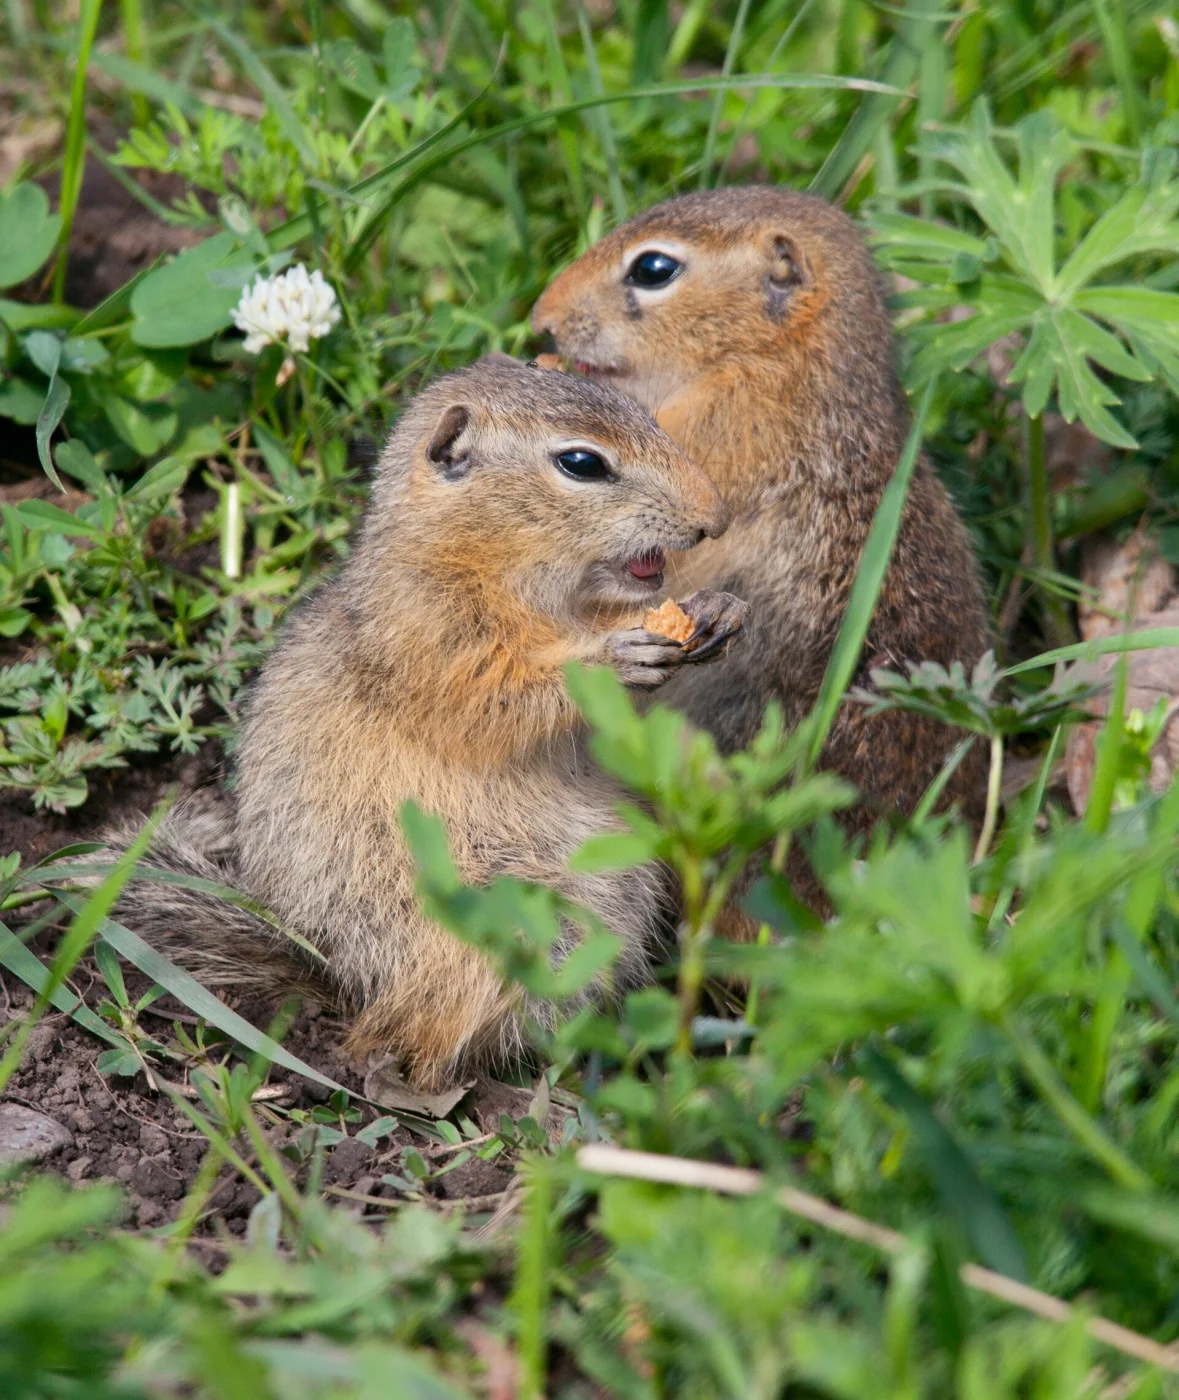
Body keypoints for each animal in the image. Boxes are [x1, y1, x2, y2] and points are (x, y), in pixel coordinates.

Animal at [110, 357, 742, 1089]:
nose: (715, 518)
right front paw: (614, 656)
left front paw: (718, 610)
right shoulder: (429, 634)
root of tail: (344, 978)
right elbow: (493, 702)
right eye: (581, 463)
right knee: (419, 1033)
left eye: (641, 411)